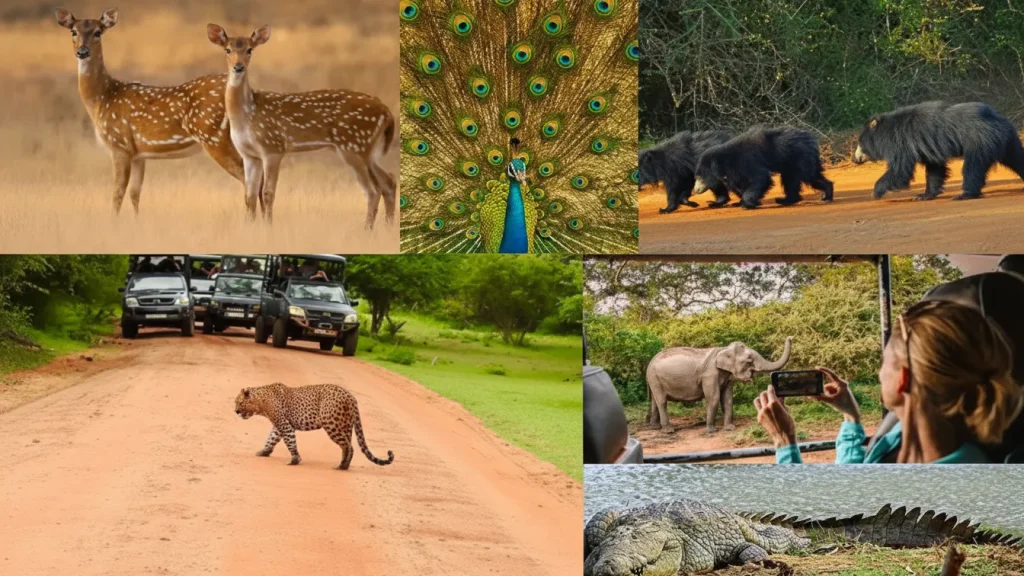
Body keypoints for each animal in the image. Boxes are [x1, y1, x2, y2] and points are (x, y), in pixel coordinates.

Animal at [54, 8, 263, 219]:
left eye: (98, 32)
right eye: (73, 31)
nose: (82, 51)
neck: (103, 98)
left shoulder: (119, 145)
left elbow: (118, 193)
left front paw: (113, 221)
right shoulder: (138, 153)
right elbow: (135, 193)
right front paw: (136, 221)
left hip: (215, 137)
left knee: (249, 181)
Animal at [206, 24, 397, 228]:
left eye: (250, 49)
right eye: (227, 50)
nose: (238, 67)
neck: (246, 115)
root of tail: (386, 111)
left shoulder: (273, 147)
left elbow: (268, 193)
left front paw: (269, 227)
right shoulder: (249, 155)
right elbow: (249, 196)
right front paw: (250, 227)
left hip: (355, 146)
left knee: (373, 190)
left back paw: (367, 229)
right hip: (366, 150)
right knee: (388, 181)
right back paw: (387, 227)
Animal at [645, 337, 793, 433]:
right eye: (749, 360)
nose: (790, 337)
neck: (724, 350)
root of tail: (650, 362)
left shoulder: (727, 377)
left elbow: (727, 399)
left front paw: (730, 428)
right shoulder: (710, 375)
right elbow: (714, 398)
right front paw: (711, 431)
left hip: (654, 379)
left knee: (655, 401)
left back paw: (654, 427)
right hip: (655, 378)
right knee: (662, 401)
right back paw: (668, 430)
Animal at [692, 127, 834, 209]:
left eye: (700, 177)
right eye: (696, 177)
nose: (696, 190)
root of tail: (812, 139)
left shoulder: (746, 162)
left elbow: (760, 178)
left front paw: (747, 203)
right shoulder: (730, 173)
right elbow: (736, 185)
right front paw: (732, 202)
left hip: (800, 156)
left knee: (808, 176)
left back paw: (824, 196)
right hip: (793, 162)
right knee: (794, 179)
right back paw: (787, 199)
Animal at [852, 101, 1024, 201]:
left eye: (860, 144)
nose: (854, 159)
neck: (885, 131)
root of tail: (998, 120)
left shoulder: (901, 144)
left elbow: (900, 170)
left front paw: (875, 192)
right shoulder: (927, 148)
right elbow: (935, 169)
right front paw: (924, 195)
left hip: (979, 141)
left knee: (973, 167)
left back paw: (964, 194)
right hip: (1008, 142)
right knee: (1017, 159)